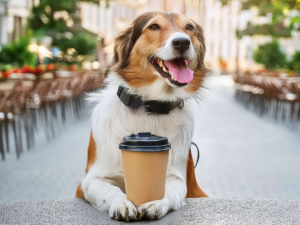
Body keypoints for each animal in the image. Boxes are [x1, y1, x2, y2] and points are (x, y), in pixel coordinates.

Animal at [77, 11, 209, 221]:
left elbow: (172, 190)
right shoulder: (89, 181)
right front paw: (122, 203)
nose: (182, 42)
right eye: (154, 26)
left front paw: (157, 203)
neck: (150, 108)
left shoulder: (178, 178)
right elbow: (110, 189)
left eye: (189, 27)